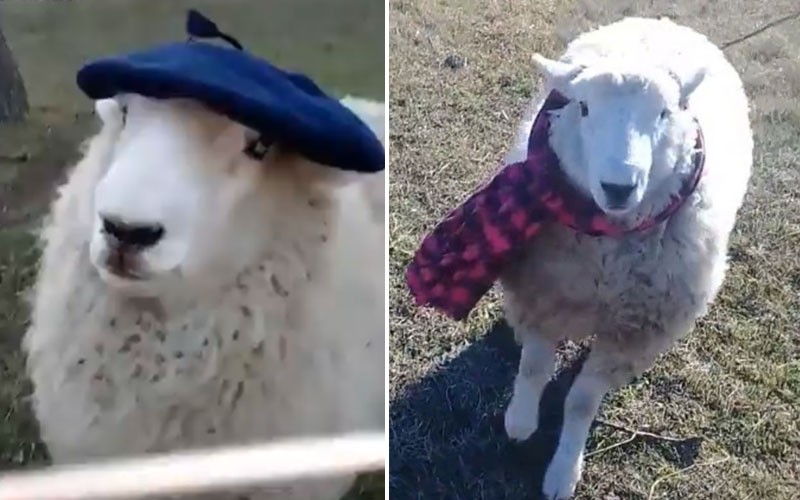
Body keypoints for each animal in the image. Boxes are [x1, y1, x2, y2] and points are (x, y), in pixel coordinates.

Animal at [495, 17, 752, 499]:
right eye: (582, 107)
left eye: (664, 113)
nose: (619, 187)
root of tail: (664, 21)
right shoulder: (543, 291)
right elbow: (535, 366)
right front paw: (520, 422)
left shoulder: (633, 332)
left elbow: (581, 402)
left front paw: (563, 471)